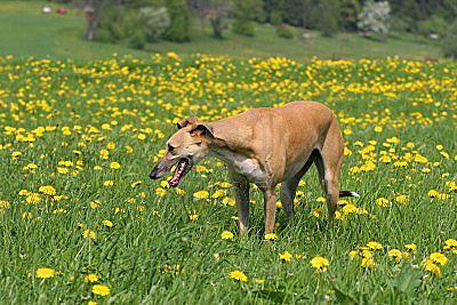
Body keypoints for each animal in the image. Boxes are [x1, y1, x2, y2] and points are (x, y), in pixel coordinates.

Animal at [151, 101, 358, 234]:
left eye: (171, 147)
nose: (152, 174)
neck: (244, 137)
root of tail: (328, 110)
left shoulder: (269, 191)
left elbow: (268, 231)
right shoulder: (240, 187)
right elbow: (244, 223)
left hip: (330, 182)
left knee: (331, 213)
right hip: (287, 188)